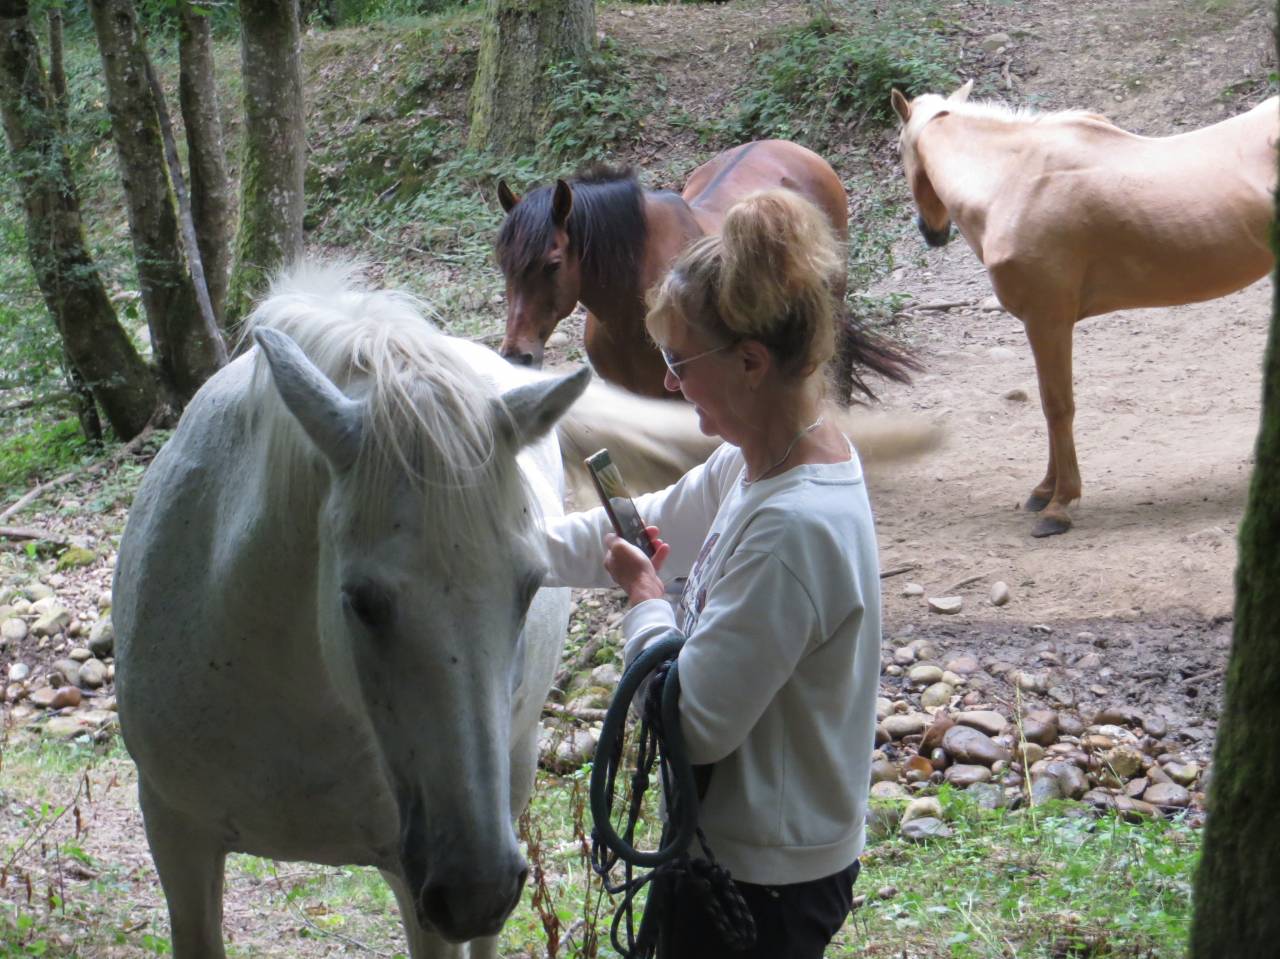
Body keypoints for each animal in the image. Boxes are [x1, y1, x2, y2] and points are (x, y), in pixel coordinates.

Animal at [891, 82, 1278, 536]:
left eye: (898, 149)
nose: (931, 232)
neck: (1011, 183)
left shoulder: (1047, 321)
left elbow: (1057, 406)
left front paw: (1059, 505)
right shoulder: (1044, 324)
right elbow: (1048, 405)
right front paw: (1043, 491)